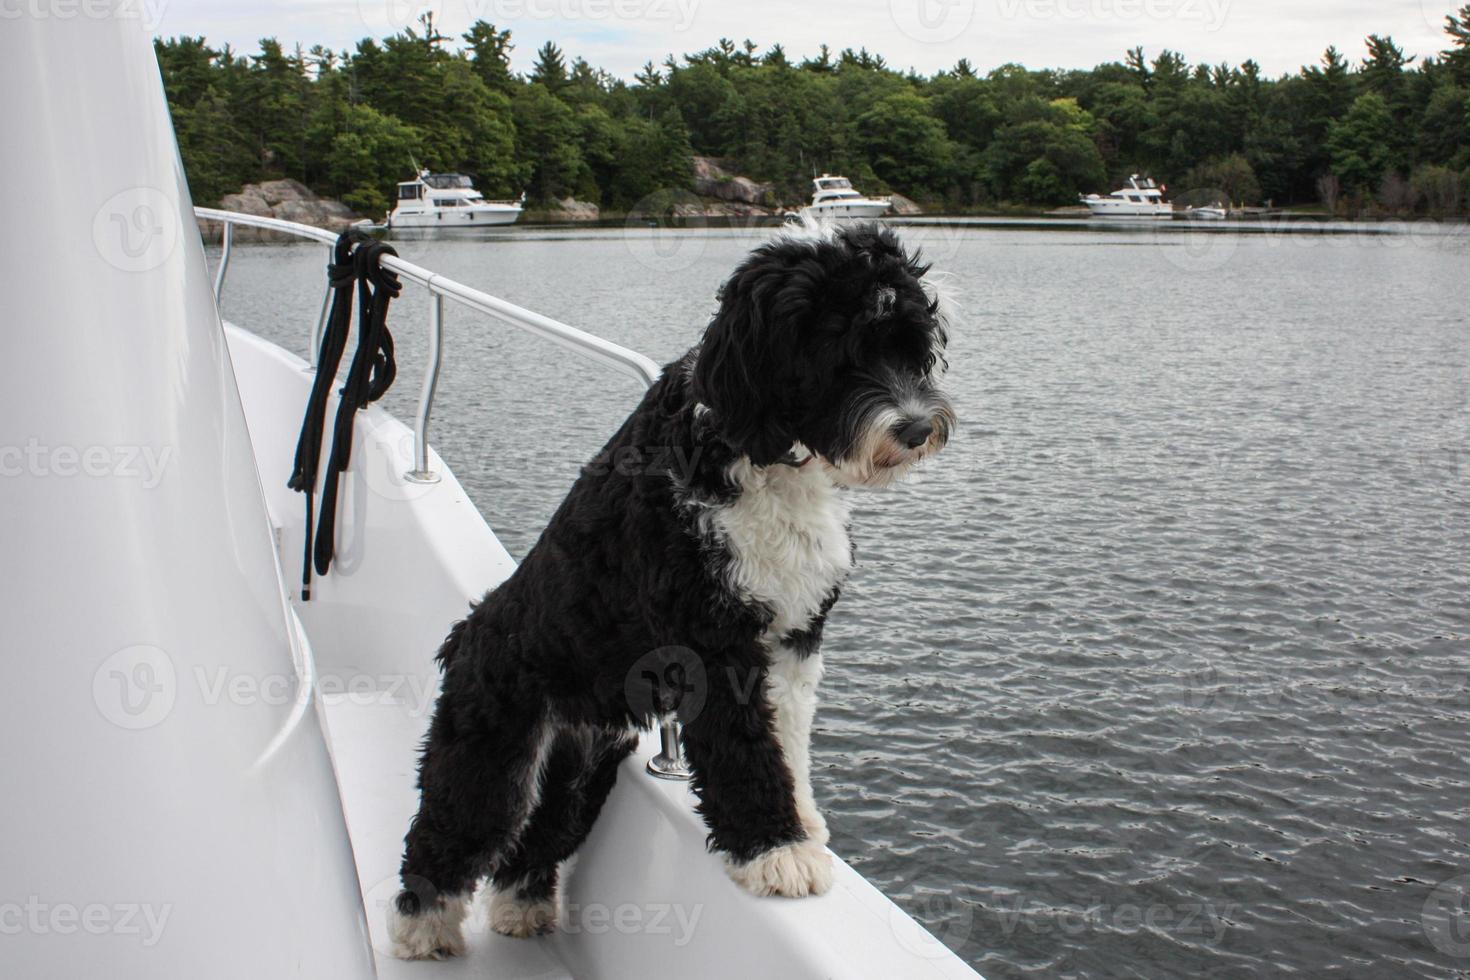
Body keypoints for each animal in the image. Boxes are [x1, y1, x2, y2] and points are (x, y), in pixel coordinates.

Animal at [391, 220, 958, 957]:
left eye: (909, 345)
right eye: (842, 351)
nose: (917, 428)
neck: (758, 449)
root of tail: (468, 632)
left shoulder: (793, 631)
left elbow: (789, 735)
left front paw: (803, 820)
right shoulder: (710, 639)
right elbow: (745, 748)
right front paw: (777, 851)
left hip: (579, 765)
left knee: (536, 841)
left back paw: (524, 912)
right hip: (491, 746)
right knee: (450, 830)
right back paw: (421, 932)